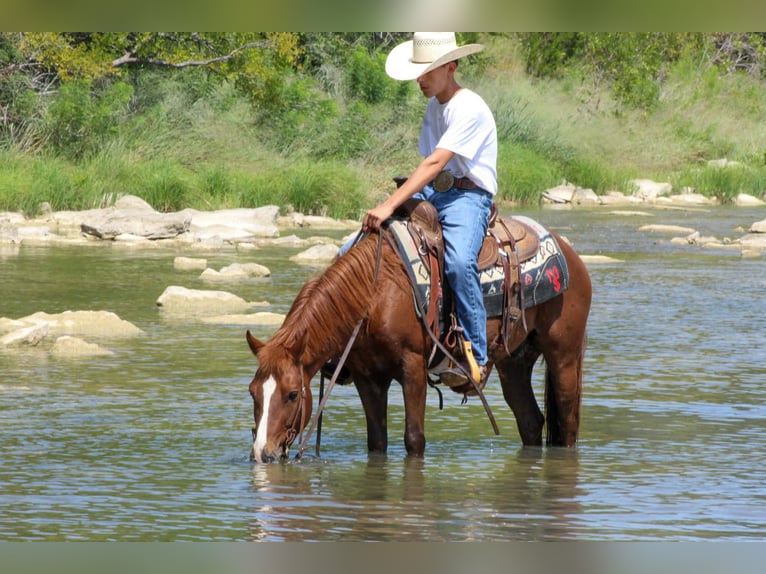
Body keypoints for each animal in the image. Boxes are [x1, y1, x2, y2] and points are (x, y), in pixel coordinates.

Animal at [245, 218, 592, 463]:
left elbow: (414, 439)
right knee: (531, 421)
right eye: (253, 392)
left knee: (568, 419)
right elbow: (377, 442)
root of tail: (570, 254)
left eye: (292, 394)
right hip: (514, 362)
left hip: (564, 354)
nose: (264, 453)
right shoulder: (367, 377)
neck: (375, 295)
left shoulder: (412, 366)